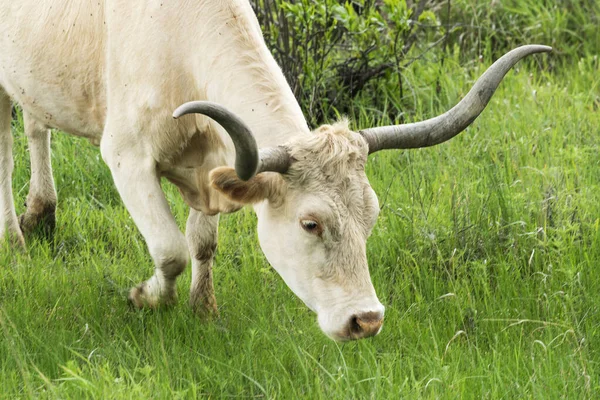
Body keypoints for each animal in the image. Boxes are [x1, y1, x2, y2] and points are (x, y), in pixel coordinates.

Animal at [0, 2, 548, 340]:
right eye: (310, 223)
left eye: (371, 218)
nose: (366, 321)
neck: (178, 41)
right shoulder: (126, 156)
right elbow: (171, 249)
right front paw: (145, 298)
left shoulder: (216, 168)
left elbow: (202, 244)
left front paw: (204, 310)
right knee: (6, 147)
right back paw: (15, 238)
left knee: (35, 124)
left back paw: (41, 212)